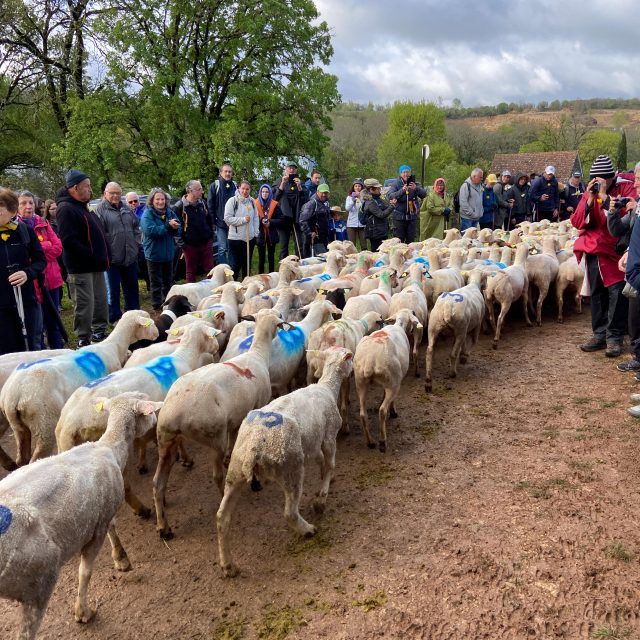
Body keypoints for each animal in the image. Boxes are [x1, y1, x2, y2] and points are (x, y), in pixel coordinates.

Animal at [0, 310, 159, 464]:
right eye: (149, 321)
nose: (157, 334)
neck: (113, 346)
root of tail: (13, 394)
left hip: (18, 426)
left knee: (22, 456)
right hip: (43, 421)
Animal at [0, 390, 162, 640]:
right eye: (147, 407)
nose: (156, 419)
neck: (108, 447)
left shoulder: (101, 511)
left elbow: (113, 526)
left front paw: (121, 558)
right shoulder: (97, 527)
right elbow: (85, 572)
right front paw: (82, 612)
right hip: (38, 579)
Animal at [216, 348, 356, 576]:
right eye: (350, 357)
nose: (353, 371)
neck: (327, 387)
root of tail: (255, 446)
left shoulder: (312, 442)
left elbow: (321, 461)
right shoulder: (328, 436)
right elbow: (330, 464)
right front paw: (321, 498)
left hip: (235, 470)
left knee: (222, 518)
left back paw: (228, 565)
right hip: (291, 468)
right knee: (289, 513)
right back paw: (307, 529)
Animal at [352, 308, 422, 452]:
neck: (398, 325)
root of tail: (370, 361)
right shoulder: (395, 381)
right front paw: (393, 411)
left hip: (360, 383)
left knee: (362, 414)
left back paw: (370, 442)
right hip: (393, 384)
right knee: (382, 411)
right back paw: (382, 441)